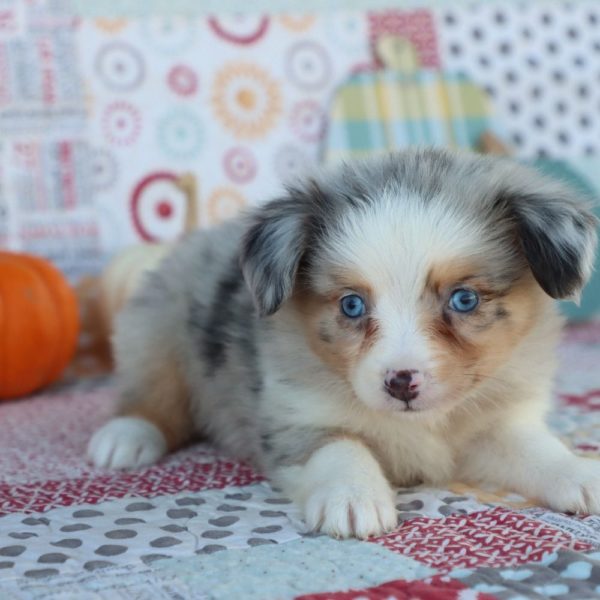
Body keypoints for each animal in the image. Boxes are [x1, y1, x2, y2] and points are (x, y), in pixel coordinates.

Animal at [89, 149, 600, 540]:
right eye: (352, 305)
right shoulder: (297, 419)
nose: (401, 383)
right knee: (151, 395)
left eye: (464, 299)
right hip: (155, 333)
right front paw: (354, 498)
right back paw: (124, 438)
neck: (422, 424)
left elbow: (538, 451)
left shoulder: (497, 424)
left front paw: (580, 472)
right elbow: (340, 448)